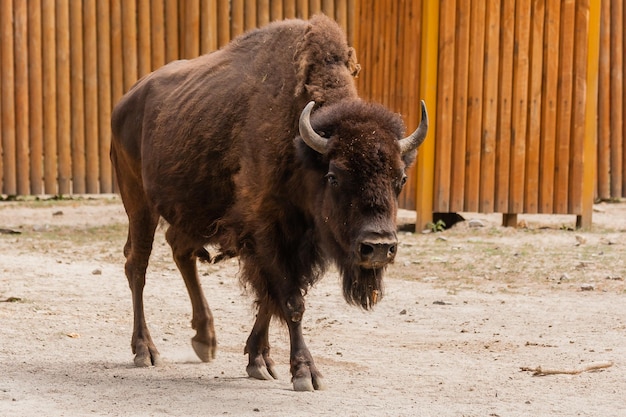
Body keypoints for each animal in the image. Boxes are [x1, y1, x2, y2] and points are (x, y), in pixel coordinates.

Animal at [109, 13, 426, 390]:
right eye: (335, 176)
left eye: (400, 179)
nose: (378, 247)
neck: (302, 150)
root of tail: (126, 100)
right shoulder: (267, 233)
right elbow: (290, 301)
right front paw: (305, 372)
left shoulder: (293, 242)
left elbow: (270, 298)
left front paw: (259, 361)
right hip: (139, 202)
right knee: (137, 265)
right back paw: (145, 350)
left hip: (193, 212)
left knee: (179, 250)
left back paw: (205, 340)